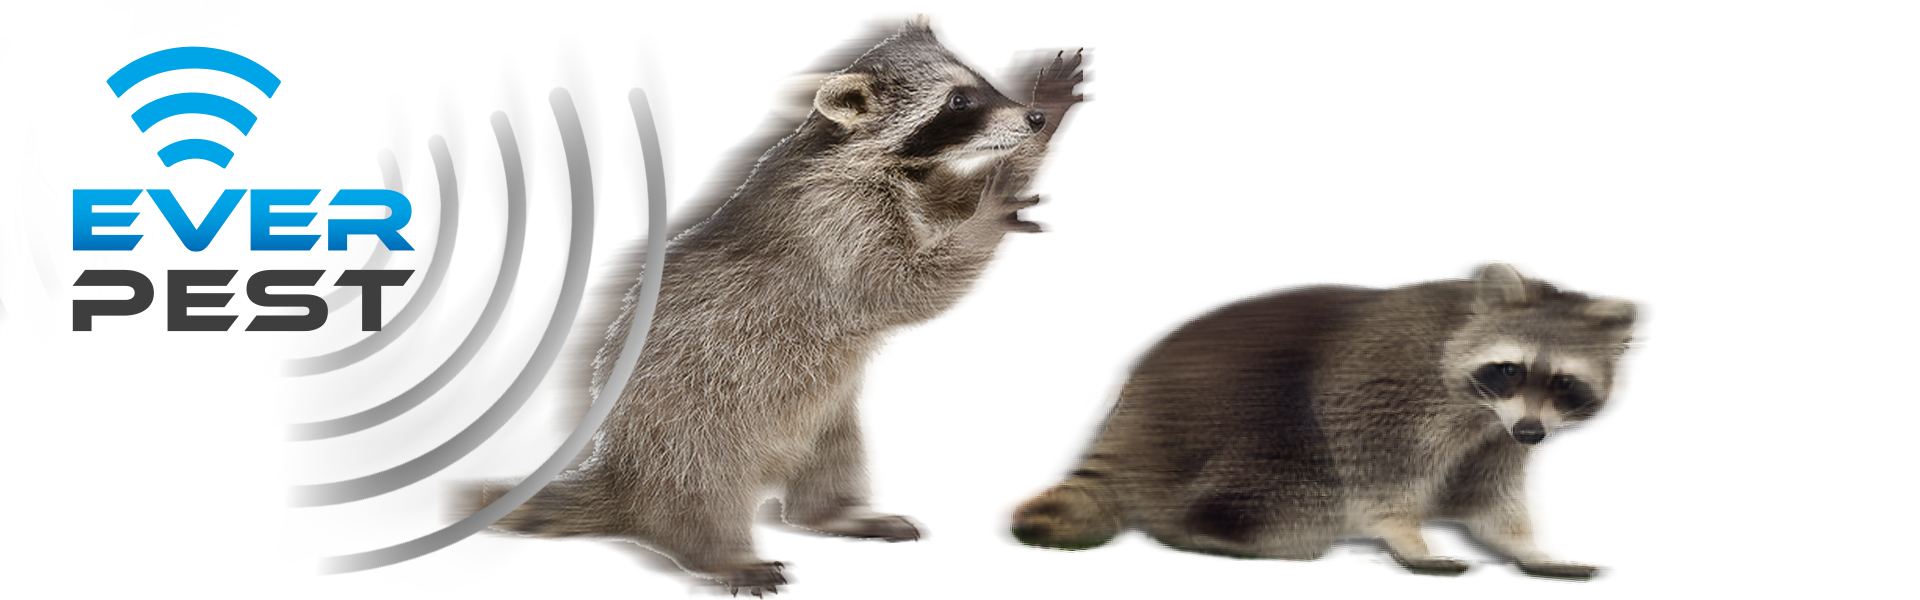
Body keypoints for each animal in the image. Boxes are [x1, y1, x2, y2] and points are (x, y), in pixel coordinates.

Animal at [438, 12, 1092, 599]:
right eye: (957, 102)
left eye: (982, 81)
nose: (1030, 118)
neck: (865, 155)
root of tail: (623, 476)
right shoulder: (832, 223)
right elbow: (905, 285)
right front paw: (992, 203)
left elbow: (944, 209)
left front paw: (1041, 116)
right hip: (690, 430)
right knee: (703, 500)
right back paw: (724, 557)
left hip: (828, 416)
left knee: (837, 464)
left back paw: (841, 513)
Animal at [991, 260, 1655, 584]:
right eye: (1511, 369)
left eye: (1565, 383)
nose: (1530, 432)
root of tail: (1129, 395)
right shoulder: (1388, 386)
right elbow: (1378, 472)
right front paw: (1417, 541)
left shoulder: (1502, 439)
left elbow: (1503, 502)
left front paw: (1545, 554)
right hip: (1230, 439)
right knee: (1293, 485)